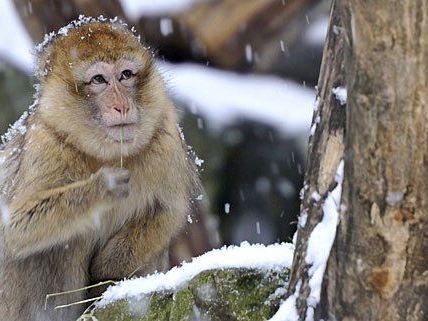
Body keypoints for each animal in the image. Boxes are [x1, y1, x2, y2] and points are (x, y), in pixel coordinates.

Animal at [0, 18, 199, 320]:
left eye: (126, 75)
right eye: (99, 80)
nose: (122, 105)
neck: (104, 153)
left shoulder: (166, 138)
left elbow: (169, 211)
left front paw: (108, 269)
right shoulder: (45, 144)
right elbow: (14, 229)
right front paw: (103, 187)